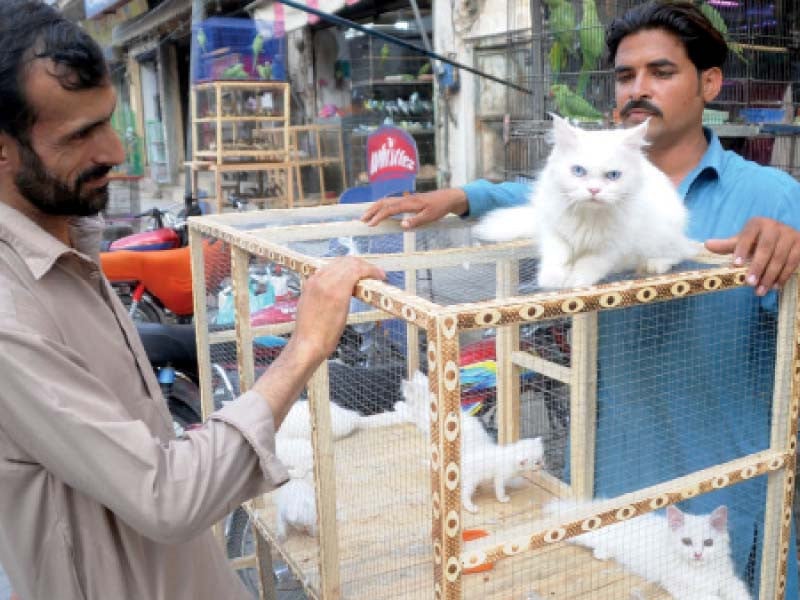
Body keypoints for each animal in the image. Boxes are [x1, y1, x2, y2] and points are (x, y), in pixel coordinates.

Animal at [472, 115, 696, 290]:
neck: (587, 217)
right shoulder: (555, 233)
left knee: (679, 252)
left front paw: (575, 281)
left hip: (665, 234)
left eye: (613, 175)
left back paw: (654, 264)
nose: (594, 190)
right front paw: (552, 280)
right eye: (578, 171)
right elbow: (556, 257)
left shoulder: (610, 247)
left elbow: (588, 264)